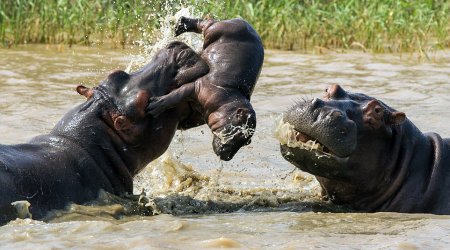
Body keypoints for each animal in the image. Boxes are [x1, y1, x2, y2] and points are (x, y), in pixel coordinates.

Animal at [148, 16, 264, 160]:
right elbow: (175, 96)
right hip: (213, 30)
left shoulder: (201, 112)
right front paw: (153, 106)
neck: (229, 101)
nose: (228, 157)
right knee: (206, 22)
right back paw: (180, 25)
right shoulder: (196, 87)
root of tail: (240, 19)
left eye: (247, 141)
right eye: (239, 132)